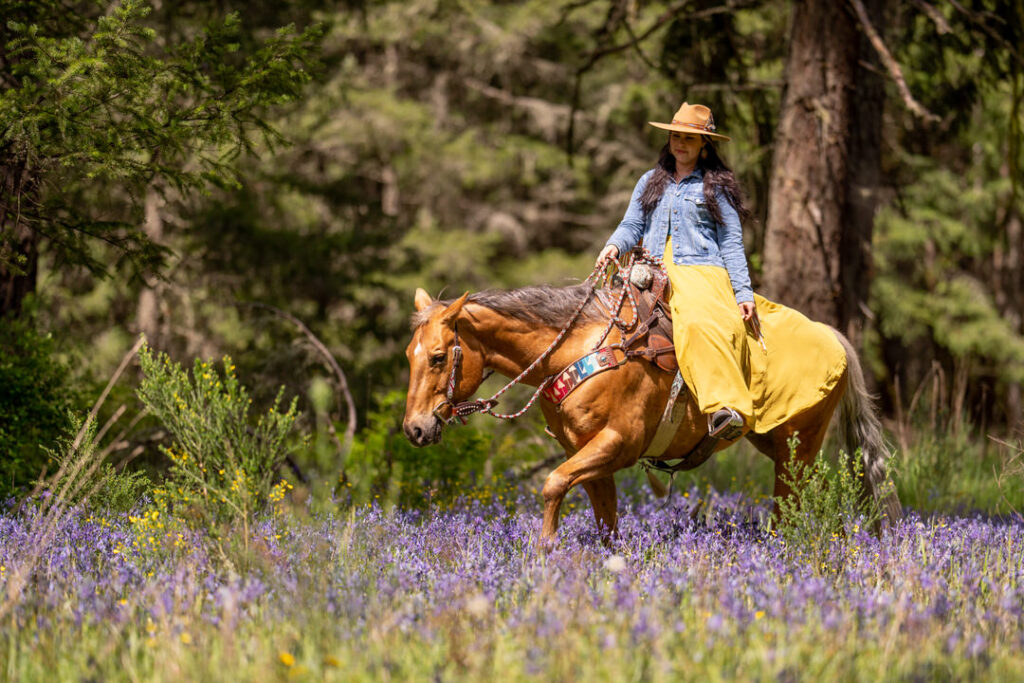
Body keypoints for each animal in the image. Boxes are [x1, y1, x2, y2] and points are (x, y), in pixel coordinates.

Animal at [403, 280, 901, 540]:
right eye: (410, 355)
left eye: (438, 357)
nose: (415, 429)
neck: (580, 351)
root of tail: (832, 335)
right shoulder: (590, 458)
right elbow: (605, 522)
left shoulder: (616, 444)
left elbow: (551, 484)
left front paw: (545, 551)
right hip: (779, 446)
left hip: (799, 448)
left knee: (790, 508)